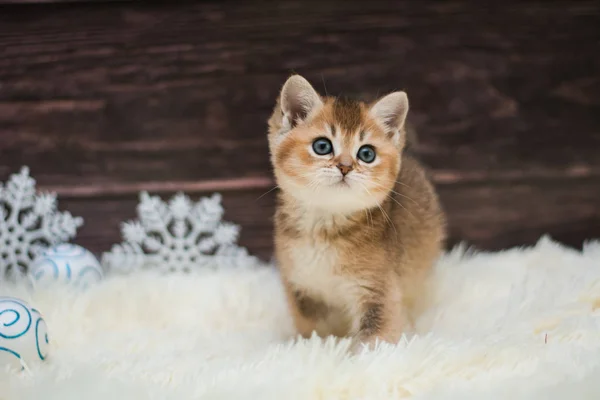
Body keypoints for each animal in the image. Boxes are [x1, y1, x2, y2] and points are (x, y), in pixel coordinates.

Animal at [268, 73, 446, 352]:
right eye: (322, 146)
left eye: (366, 154)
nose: (345, 166)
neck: (324, 232)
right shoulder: (302, 289)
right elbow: (315, 332)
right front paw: (316, 348)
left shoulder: (379, 291)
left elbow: (373, 340)